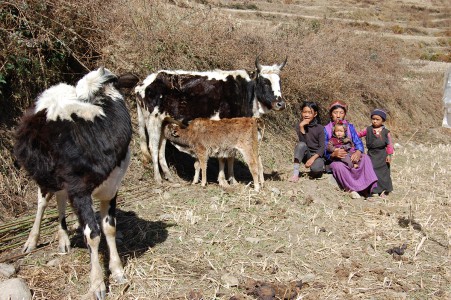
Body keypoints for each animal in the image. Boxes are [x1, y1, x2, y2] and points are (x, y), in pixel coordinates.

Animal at [14, 67, 138, 300]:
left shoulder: (111, 187)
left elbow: (109, 228)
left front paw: (117, 271)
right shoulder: (79, 190)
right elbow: (93, 234)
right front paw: (97, 284)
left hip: (64, 181)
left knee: (61, 199)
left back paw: (63, 239)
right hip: (46, 176)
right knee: (43, 202)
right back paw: (31, 241)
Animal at [136, 56, 288, 183]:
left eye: (279, 81)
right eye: (265, 82)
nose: (280, 104)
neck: (245, 93)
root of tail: (144, 83)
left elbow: (231, 155)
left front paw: (232, 180)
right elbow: (223, 155)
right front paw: (223, 180)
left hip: (164, 122)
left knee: (161, 149)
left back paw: (170, 177)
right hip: (152, 120)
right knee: (153, 147)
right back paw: (158, 179)